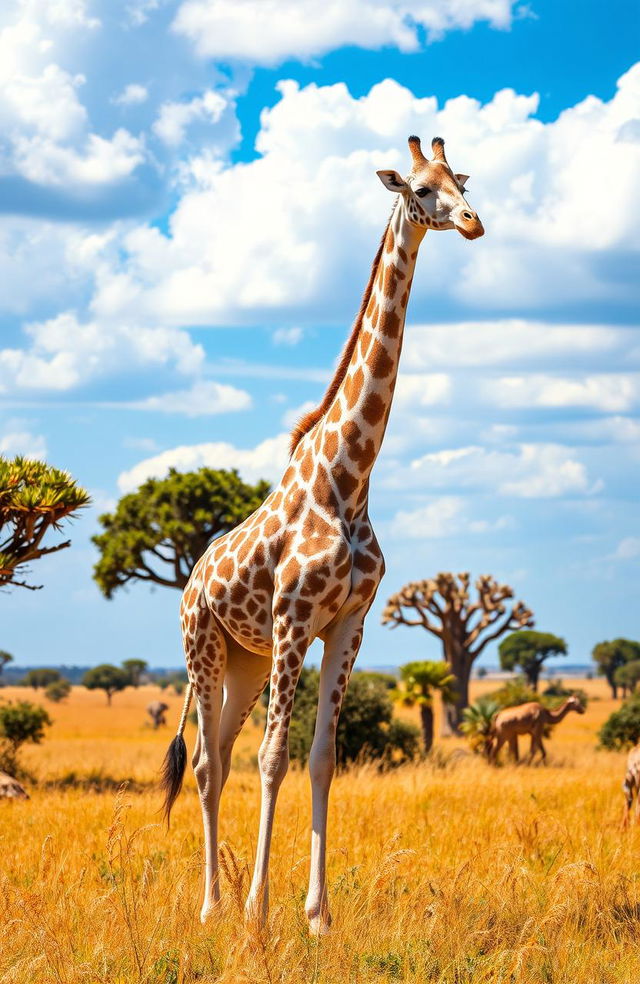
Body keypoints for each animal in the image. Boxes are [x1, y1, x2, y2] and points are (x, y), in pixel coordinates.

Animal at [161, 135, 484, 936]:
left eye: (462, 183)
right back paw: (213, 906)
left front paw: (317, 916)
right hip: (204, 645)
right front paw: (259, 913)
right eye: (421, 189)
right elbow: (273, 758)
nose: (472, 222)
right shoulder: (292, 617)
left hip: (245, 662)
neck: (351, 477)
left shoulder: (347, 623)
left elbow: (321, 759)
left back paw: (221, 902)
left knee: (219, 753)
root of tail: (190, 577)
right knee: (209, 764)